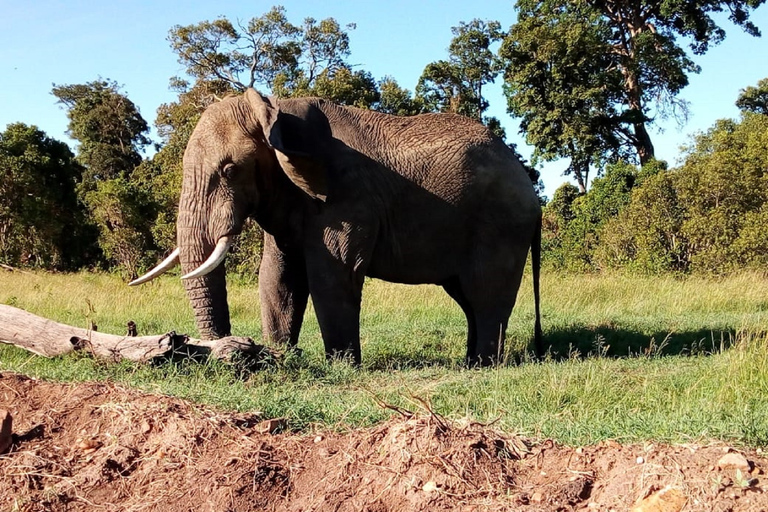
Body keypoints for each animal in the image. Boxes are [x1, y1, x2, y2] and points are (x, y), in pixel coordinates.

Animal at [130, 89, 540, 368]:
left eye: (231, 170)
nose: (227, 352)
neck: (275, 111)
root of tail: (530, 188)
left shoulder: (346, 196)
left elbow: (332, 275)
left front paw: (341, 367)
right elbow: (278, 278)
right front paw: (282, 357)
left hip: (501, 227)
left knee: (486, 296)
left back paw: (484, 365)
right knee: (466, 297)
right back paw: (470, 362)